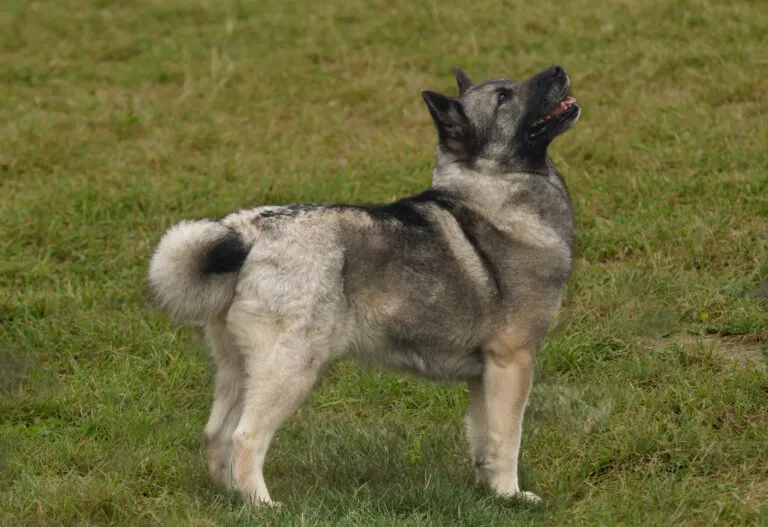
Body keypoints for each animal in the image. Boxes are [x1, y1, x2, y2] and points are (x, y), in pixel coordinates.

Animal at [148, 66, 576, 508]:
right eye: (504, 97)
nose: (558, 70)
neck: (493, 190)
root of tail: (248, 231)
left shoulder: (483, 374)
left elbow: (483, 438)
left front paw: (490, 492)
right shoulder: (512, 361)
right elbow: (507, 438)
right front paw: (512, 495)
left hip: (239, 369)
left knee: (216, 435)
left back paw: (234, 497)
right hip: (290, 368)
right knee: (245, 437)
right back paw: (264, 505)